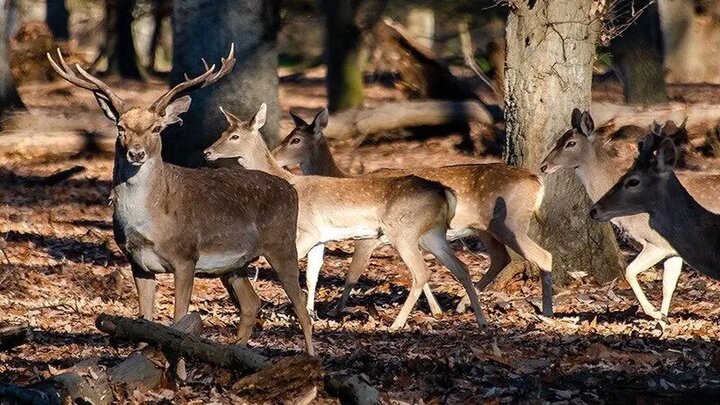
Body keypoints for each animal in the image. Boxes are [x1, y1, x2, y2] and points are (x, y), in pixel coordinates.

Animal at [46, 46, 314, 354]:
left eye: (156, 128)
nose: (136, 153)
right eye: (121, 127)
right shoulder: (137, 263)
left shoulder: (186, 256)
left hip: (282, 244)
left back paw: (309, 357)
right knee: (251, 304)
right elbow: (145, 321)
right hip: (235, 265)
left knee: (301, 307)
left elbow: (178, 322)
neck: (151, 221)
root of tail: (291, 189)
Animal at [204, 103, 490, 328]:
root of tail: (445, 192)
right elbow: (312, 273)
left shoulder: (306, 231)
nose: (207, 152)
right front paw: (310, 313)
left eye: (234, 136)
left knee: (422, 272)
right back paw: (481, 321)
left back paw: (396, 324)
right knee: (461, 268)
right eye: (222, 132)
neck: (290, 183)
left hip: (404, 231)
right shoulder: (319, 237)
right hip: (432, 233)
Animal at [272, 109, 556, 318]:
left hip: (510, 221)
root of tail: (536, 182)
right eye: (288, 136)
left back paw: (547, 311)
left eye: (295, 140)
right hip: (484, 228)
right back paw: (463, 305)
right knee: (500, 258)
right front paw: (435, 309)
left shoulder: (369, 238)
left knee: (540, 256)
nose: (274, 156)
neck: (344, 179)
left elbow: (353, 273)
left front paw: (336, 310)